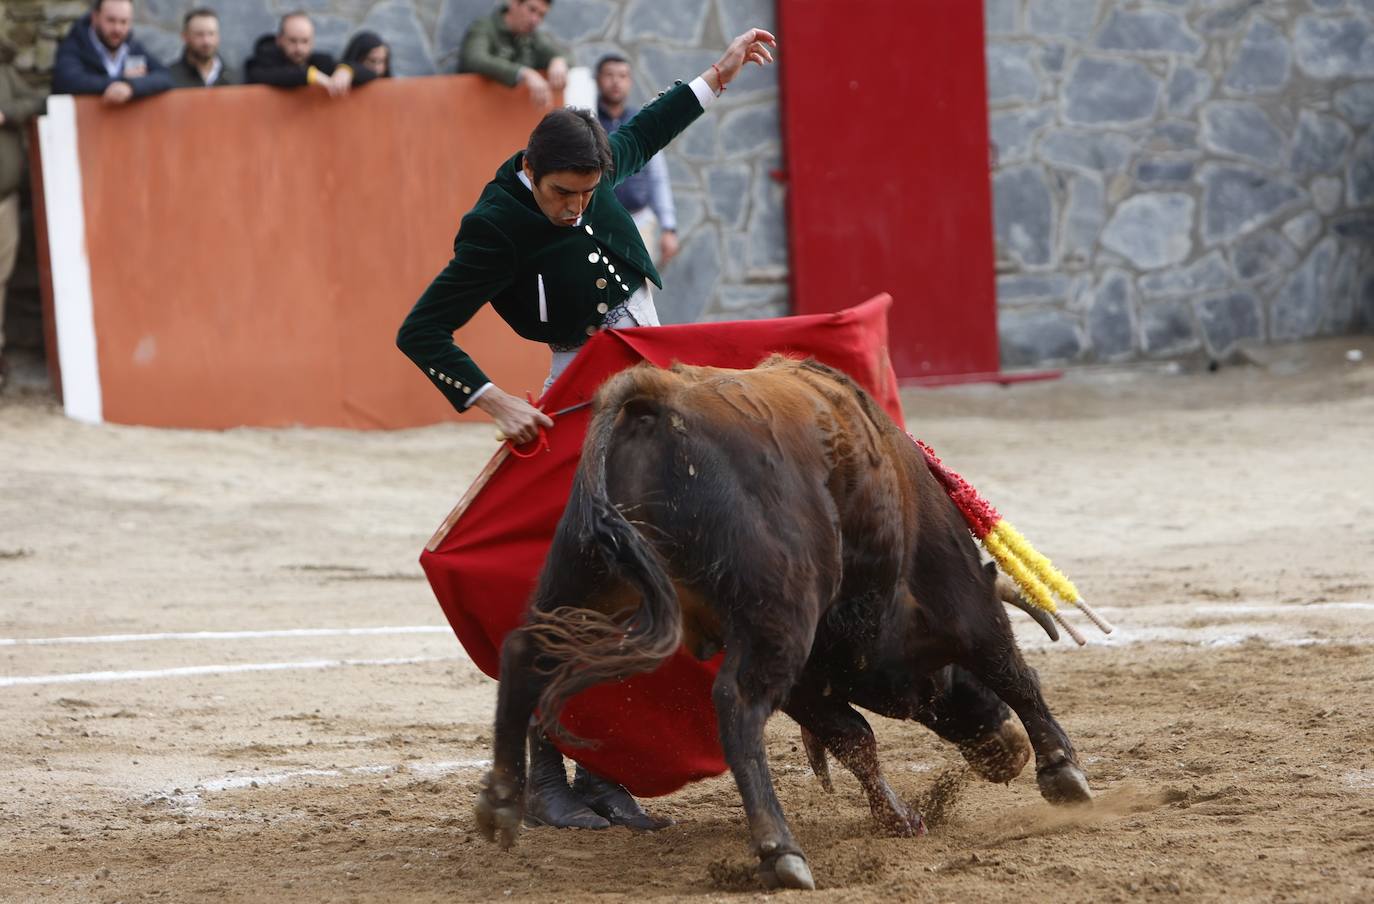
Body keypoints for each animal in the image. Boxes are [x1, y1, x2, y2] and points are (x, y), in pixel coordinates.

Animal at [478, 354, 1088, 884]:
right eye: (954, 681)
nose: (1006, 753)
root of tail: (656, 397)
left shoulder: (806, 672)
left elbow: (855, 739)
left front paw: (900, 818)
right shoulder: (955, 595)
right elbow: (1010, 667)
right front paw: (1063, 773)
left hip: (589, 581)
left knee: (525, 652)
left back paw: (502, 803)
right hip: (776, 615)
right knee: (737, 705)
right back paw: (780, 851)